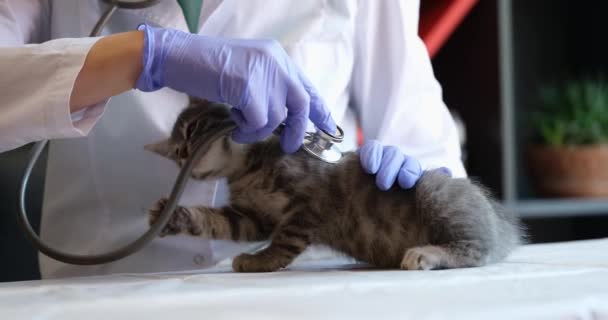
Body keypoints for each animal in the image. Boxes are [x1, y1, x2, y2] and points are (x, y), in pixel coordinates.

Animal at [144, 99, 524, 272]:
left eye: (192, 129)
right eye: (175, 154)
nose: (184, 155)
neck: (247, 170)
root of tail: (502, 226)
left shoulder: (307, 208)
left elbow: (284, 242)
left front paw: (261, 260)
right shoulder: (252, 218)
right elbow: (214, 221)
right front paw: (172, 216)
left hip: (435, 192)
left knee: (476, 251)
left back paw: (428, 253)